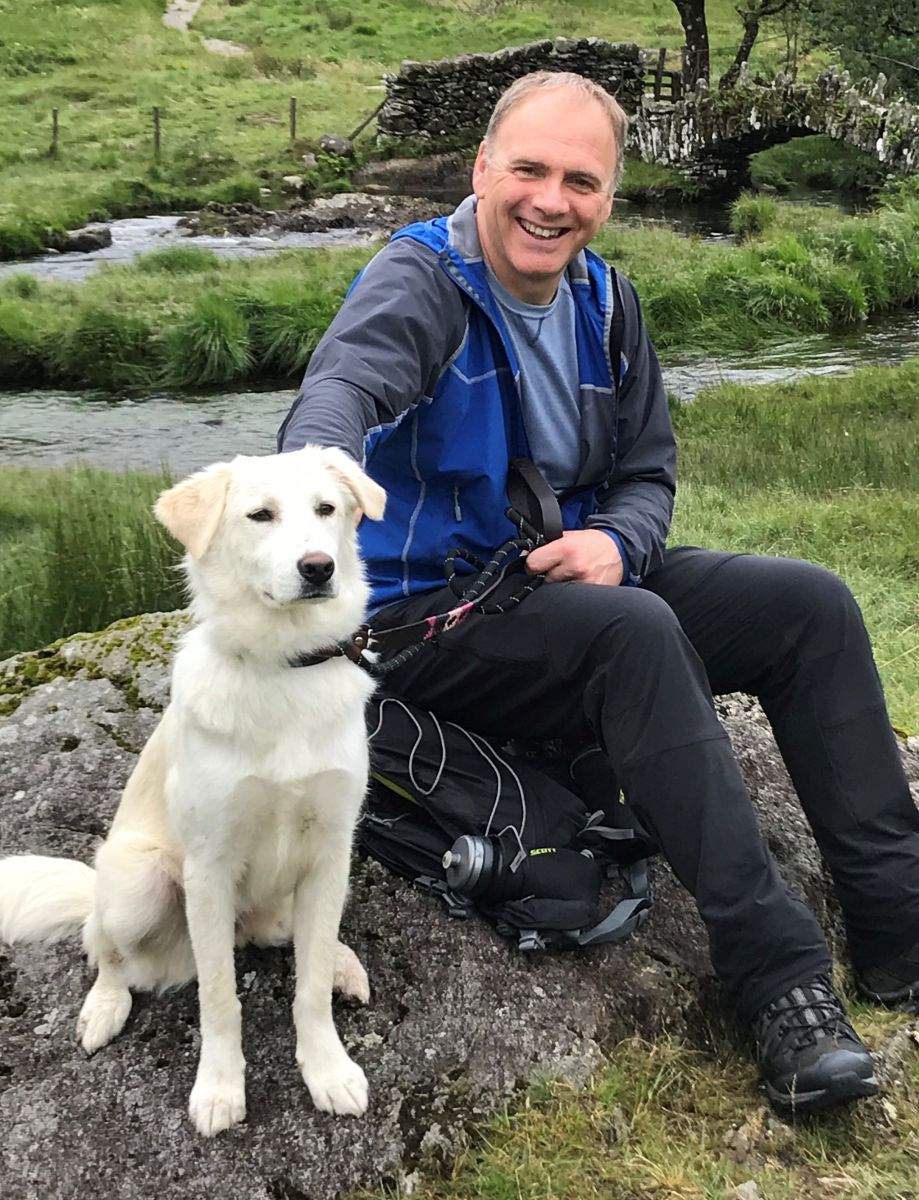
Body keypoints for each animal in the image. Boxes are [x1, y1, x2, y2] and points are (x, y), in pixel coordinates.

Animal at [0, 448, 383, 1132]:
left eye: (326, 509)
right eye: (260, 515)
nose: (319, 567)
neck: (285, 667)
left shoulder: (330, 850)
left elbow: (308, 986)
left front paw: (328, 1069)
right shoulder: (209, 866)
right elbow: (220, 998)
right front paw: (220, 1089)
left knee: (305, 939)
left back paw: (341, 959)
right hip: (139, 882)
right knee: (103, 948)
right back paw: (103, 1007)